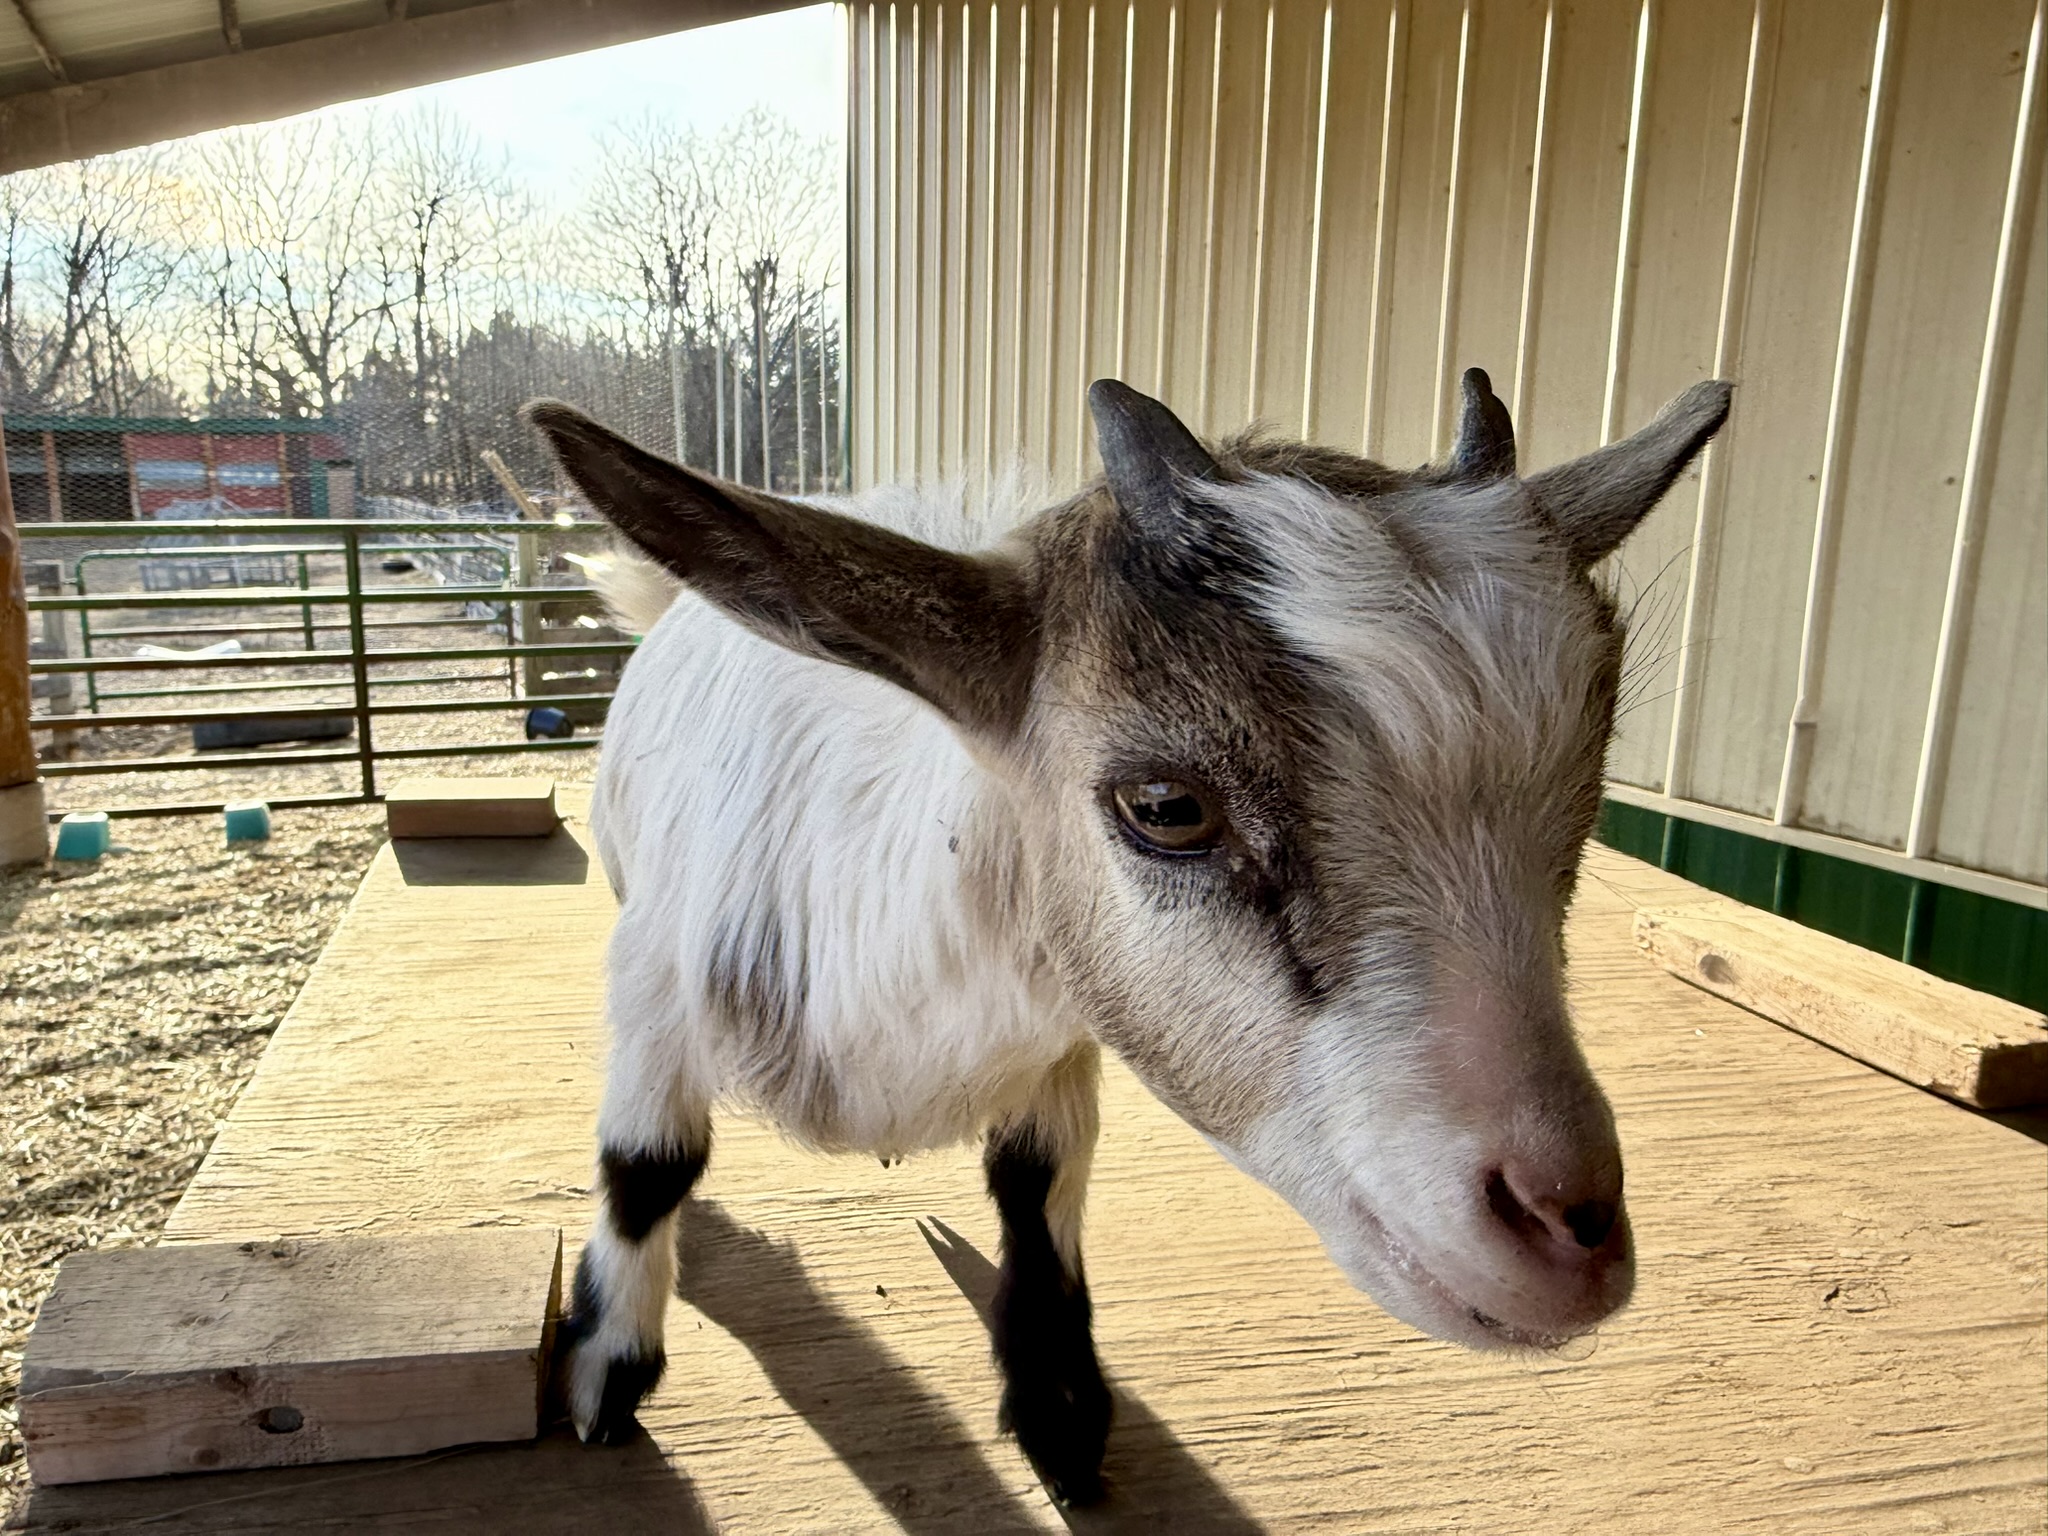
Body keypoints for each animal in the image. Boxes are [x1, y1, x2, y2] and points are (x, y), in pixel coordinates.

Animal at [526, 369, 1730, 1504]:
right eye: (1164, 806)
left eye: (1588, 791)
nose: (1569, 1236)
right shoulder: (654, 980)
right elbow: (649, 1165)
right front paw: (603, 1375)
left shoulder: (1060, 1036)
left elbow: (1034, 1180)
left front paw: (1060, 1411)